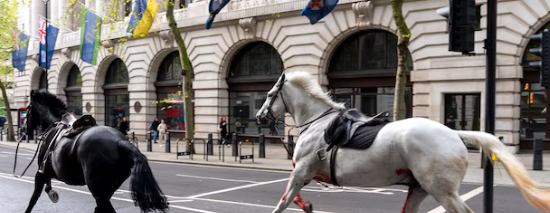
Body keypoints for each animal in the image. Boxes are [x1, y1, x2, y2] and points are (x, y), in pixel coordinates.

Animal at [22, 89, 168, 212]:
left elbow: (32, 200)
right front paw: (52, 193)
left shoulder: (41, 173)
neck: (54, 124)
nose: (25, 129)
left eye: (28, 109)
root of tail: (121, 142)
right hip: (107, 191)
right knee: (100, 209)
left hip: (98, 190)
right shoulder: (46, 173)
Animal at [258, 71, 550, 213]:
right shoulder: (305, 174)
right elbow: (292, 198)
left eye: (270, 94)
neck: (317, 122)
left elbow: (283, 201)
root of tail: (455, 134)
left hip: (441, 189)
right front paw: (307, 205)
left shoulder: (301, 171)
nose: (260, 117)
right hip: (420, 188)